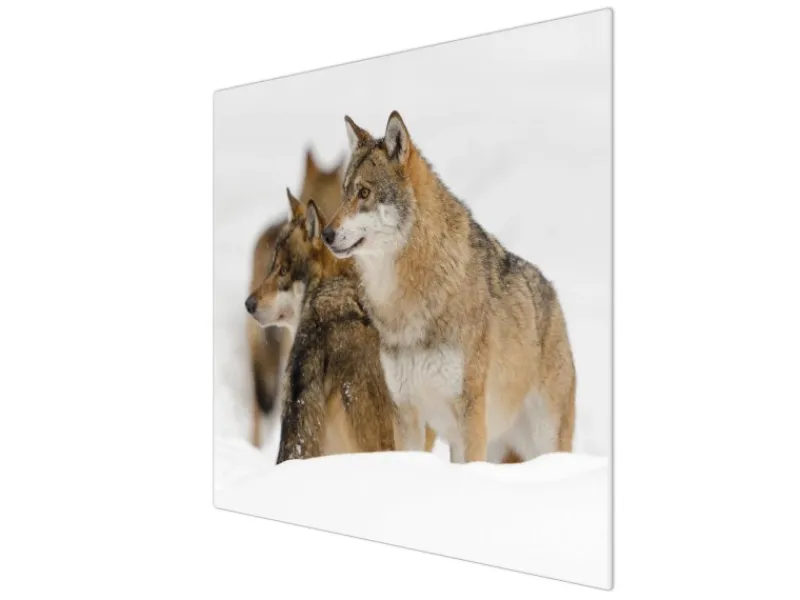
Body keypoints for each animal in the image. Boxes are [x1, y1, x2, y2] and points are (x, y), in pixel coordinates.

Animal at [322, 111, 576, 463]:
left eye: (364, 193)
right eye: (345, 191)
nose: (326, 234)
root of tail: (553, 296)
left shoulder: (470, 413)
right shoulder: (406, 414)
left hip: (541, 438)